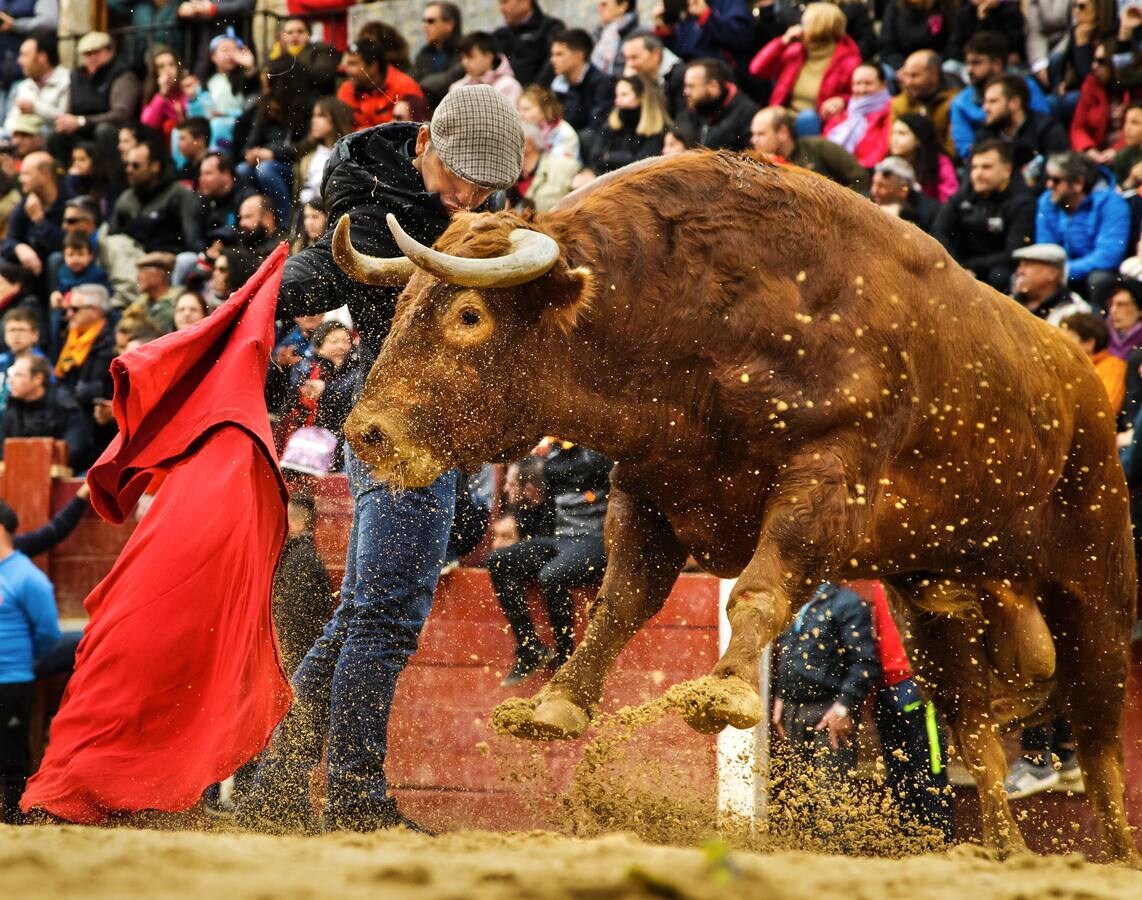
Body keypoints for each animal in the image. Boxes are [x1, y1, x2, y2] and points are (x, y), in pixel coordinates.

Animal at [333, 150, 1137, 863]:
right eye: (400, 306)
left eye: (469, 315)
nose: (365, 432)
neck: (699, 316)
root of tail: (1078, 385)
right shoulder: (649, 488)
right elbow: (622, 600)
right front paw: (556, 703)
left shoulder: (826, 481)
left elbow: (757, 589)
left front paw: (722, 693)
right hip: (934, 610)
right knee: (976, 730)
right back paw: (1003, 848)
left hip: (1093, 589)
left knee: (1099, 742)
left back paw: (1117, 850)